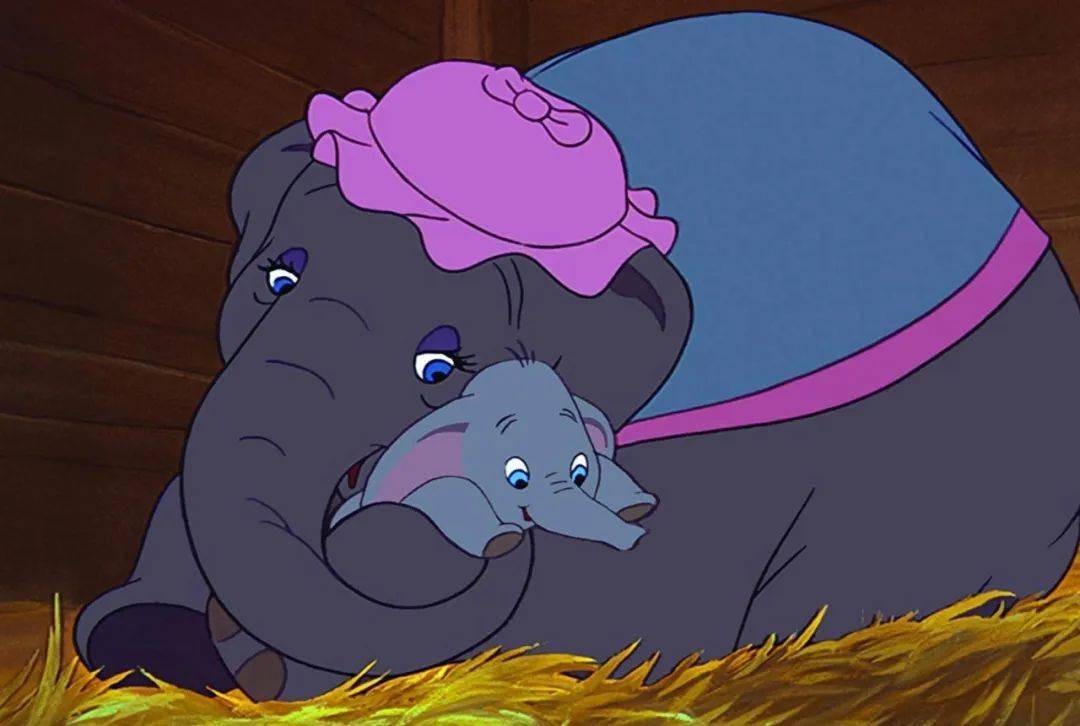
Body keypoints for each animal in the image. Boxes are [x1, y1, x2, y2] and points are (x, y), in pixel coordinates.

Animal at [330, 358, 657, 557]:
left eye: (580, 474)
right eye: (518, 478)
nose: (637, 537)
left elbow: (608, 466)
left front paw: (639, 506)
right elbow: (450, 489)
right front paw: (501, 540)